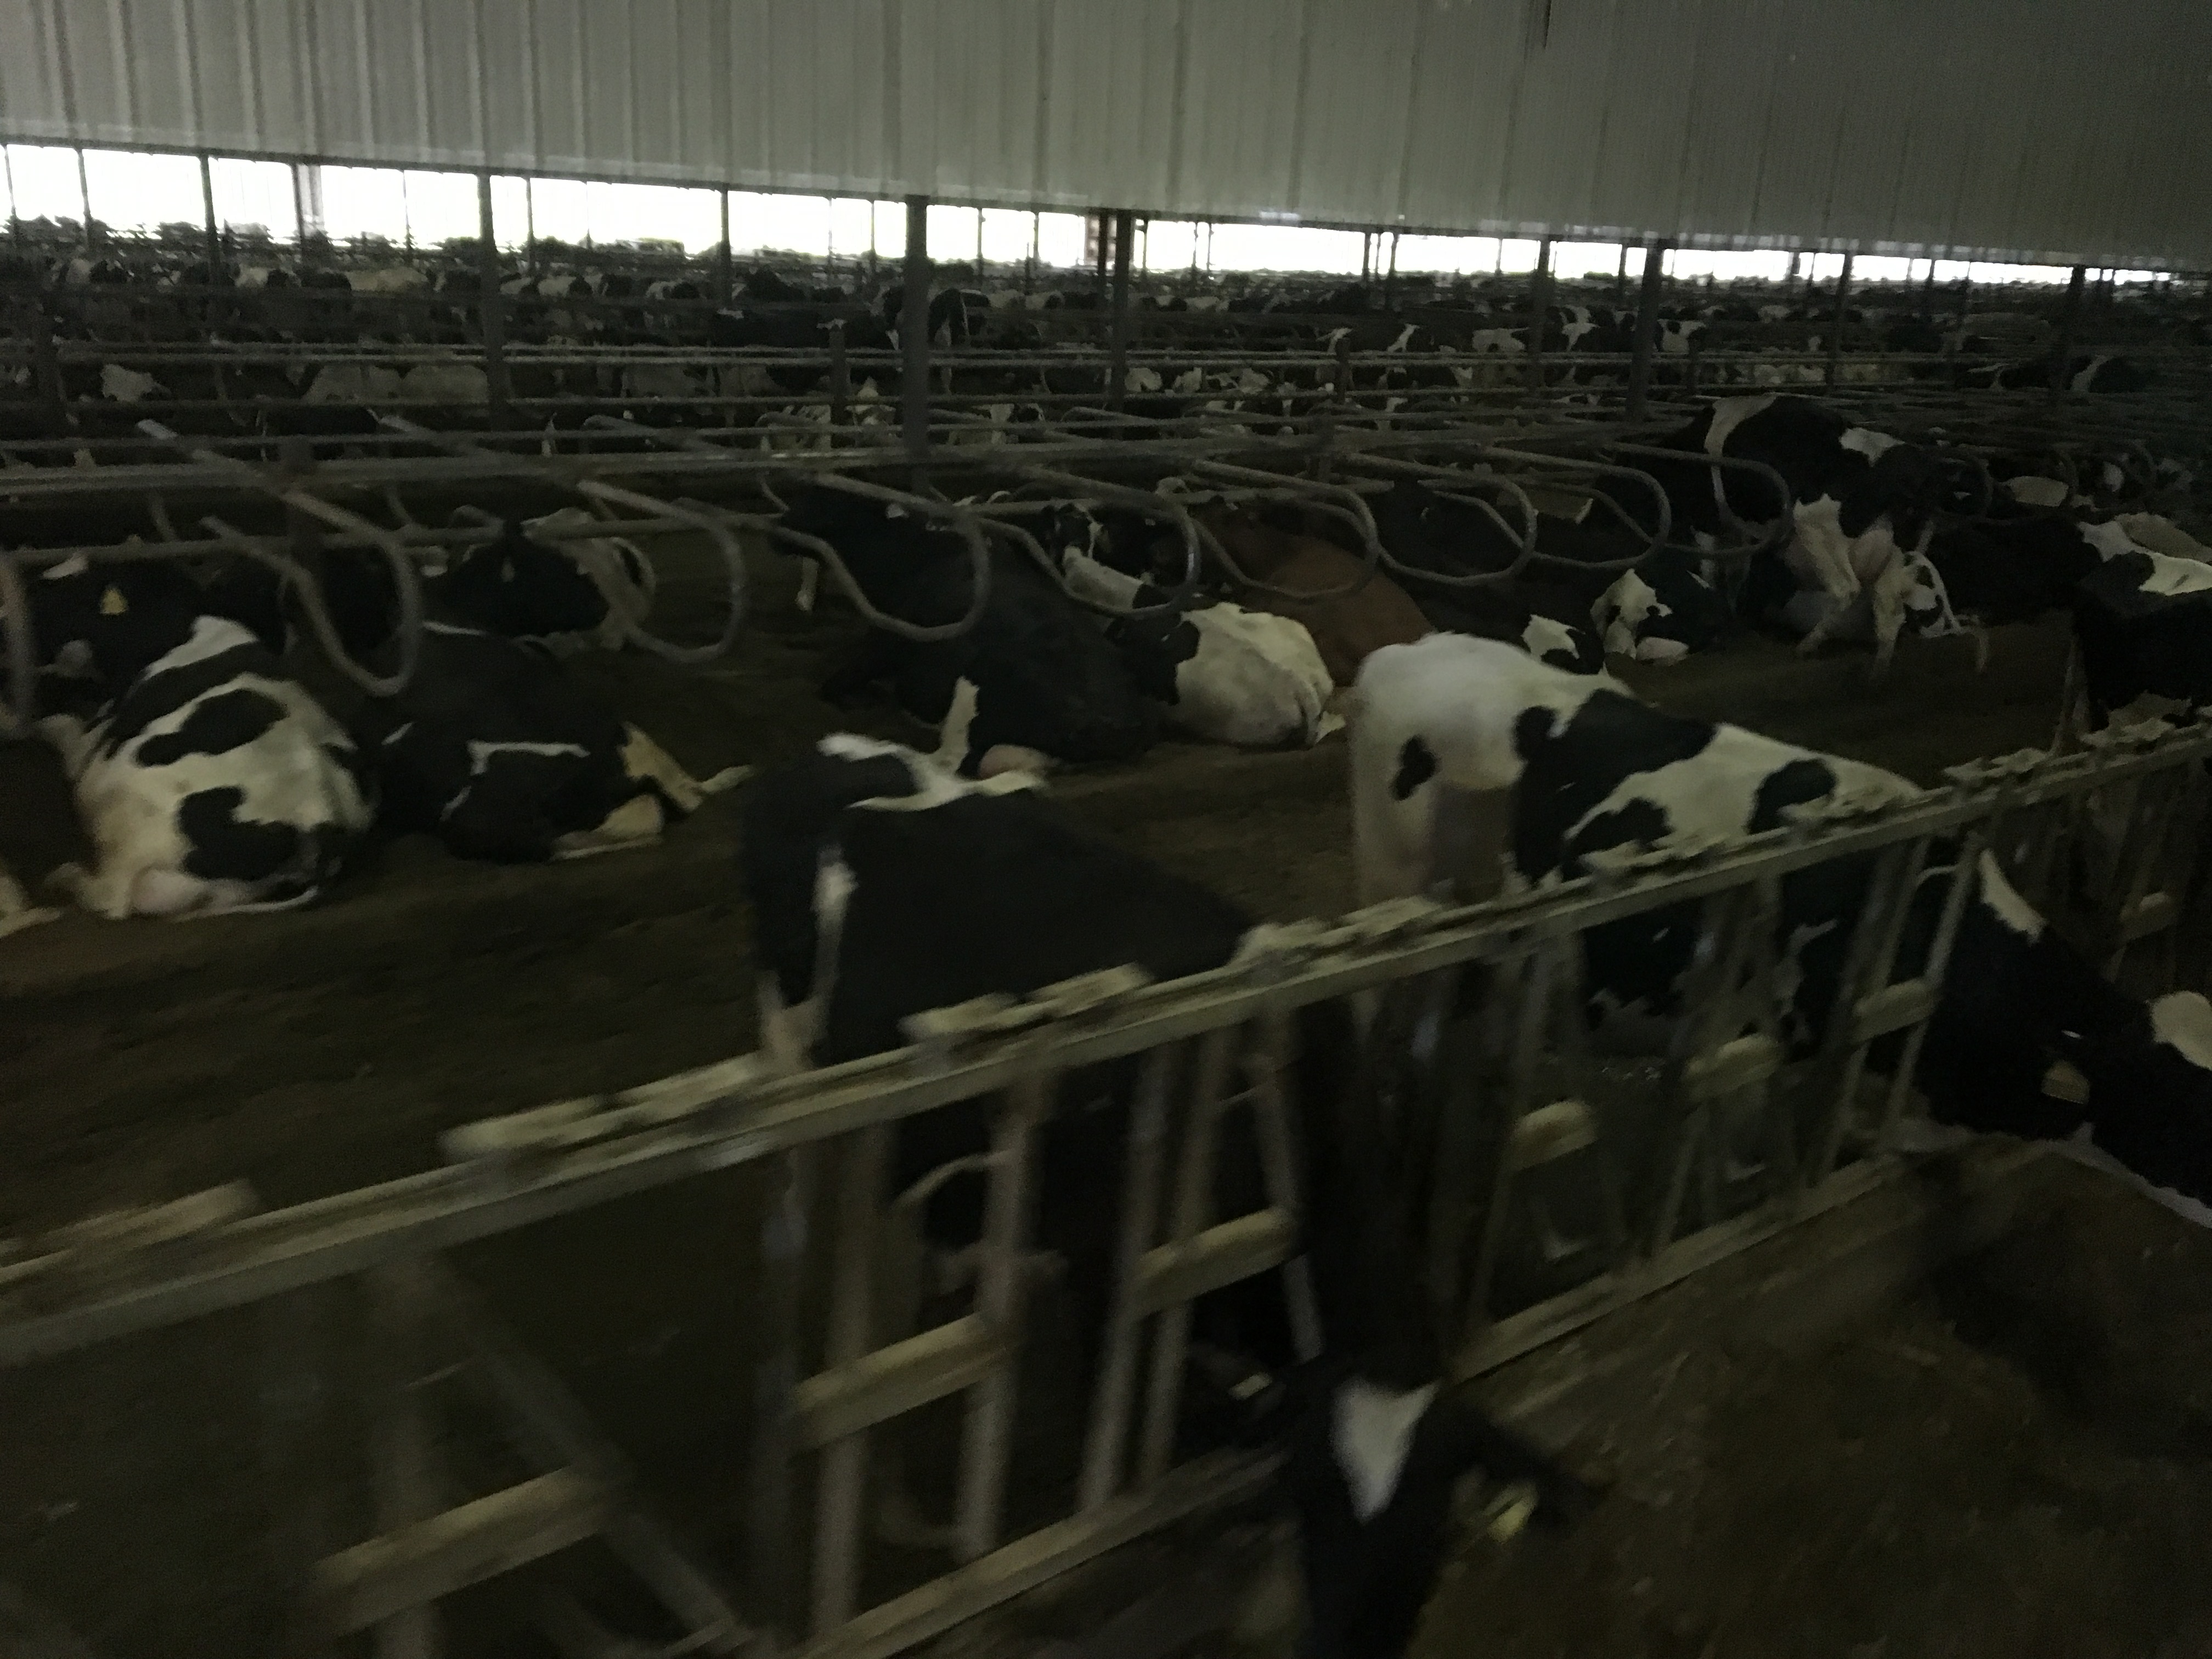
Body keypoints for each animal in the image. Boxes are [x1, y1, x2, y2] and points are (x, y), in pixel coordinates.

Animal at [19, 557, 374, 919]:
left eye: (67, 591)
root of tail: (320, 826)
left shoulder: (94, 743)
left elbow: (60, 729)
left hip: (132, 826)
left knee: (113, 899)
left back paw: (64, 878)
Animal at [742, 736, 1597, 1659]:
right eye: (1316, 1516)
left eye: (1431, 1530)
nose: (1353, 1648)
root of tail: (829, 752)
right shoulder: (1103, 1259)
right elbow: (1112, 1398)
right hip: (789, 1046)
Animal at [782, 488, 1158, 775]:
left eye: (821, 505)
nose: (778, 528)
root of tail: (1117, 722)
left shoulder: (888, 640)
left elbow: (833, 684)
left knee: (945, 762)